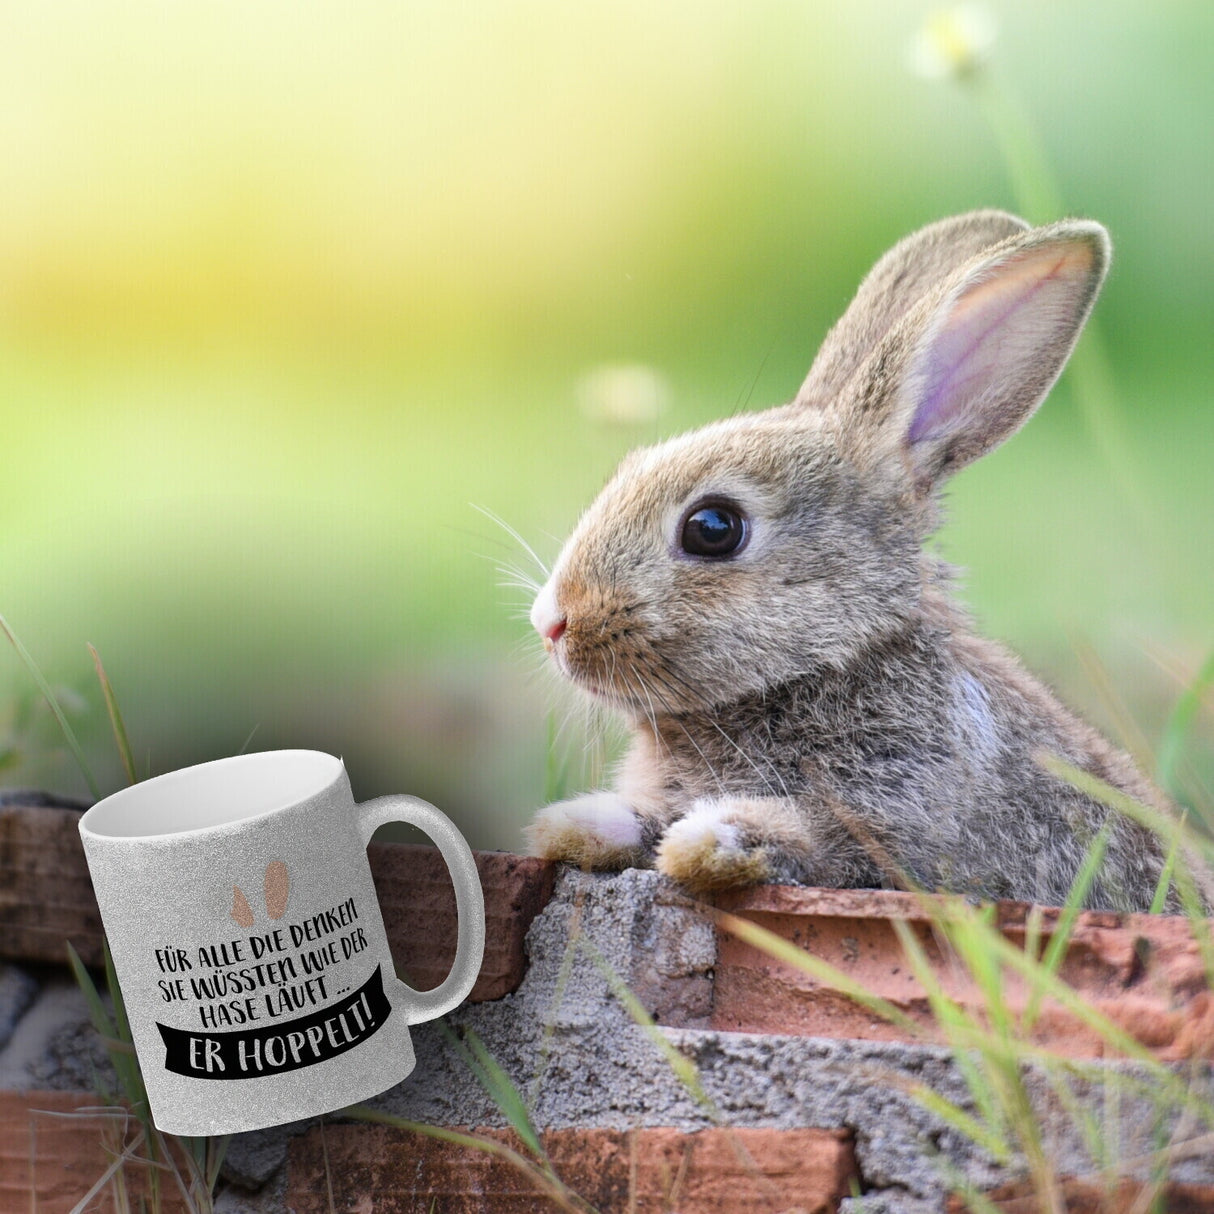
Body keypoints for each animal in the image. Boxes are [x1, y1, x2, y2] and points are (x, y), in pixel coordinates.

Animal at [524, 209, 1178, 912]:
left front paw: (710, 840)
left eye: (713, 528)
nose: (551, 622)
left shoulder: (899, 825)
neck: (827, 664)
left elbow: (815, 840)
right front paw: (575, 823)